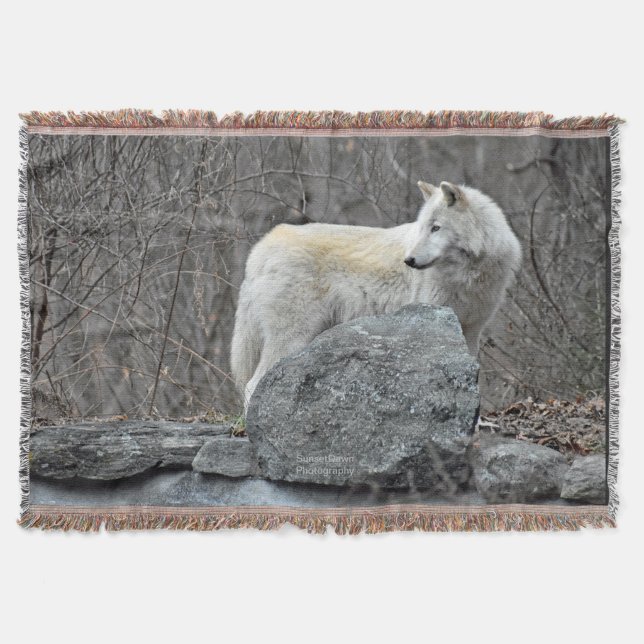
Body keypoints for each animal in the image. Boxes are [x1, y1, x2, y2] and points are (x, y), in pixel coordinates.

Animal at [231, 180, 521, 407]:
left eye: (436, 228)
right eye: (423, 227)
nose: (409, 260)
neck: (467, 275)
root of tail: (260, 249)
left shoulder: (471, 330)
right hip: (292, 337)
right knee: (252, 385)